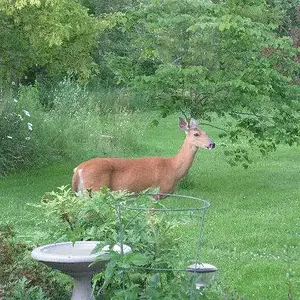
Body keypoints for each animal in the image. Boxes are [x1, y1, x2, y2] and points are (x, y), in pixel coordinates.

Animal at [71, 118, 214, 199]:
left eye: (207, 133)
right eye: (196, 134)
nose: (212, 144)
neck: (173, 168)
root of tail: (78, 169)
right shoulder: (156, 193)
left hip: (81, 193)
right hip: (95, 190)